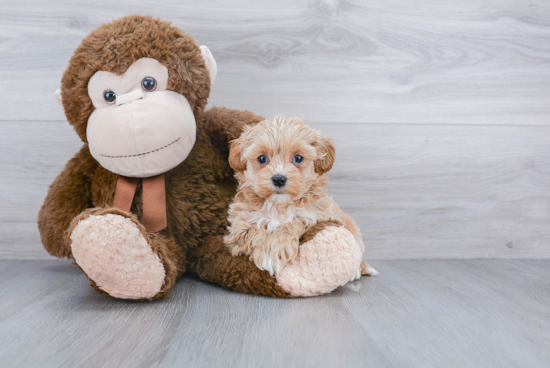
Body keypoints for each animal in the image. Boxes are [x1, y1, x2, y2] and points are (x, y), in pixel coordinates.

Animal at [224, 115, 380, 278]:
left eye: (298, 158)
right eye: (262, 159)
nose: (279, 179)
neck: (280, 206)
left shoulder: (318, 216)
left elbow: (293, 222)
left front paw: (273, 254)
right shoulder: (239, 226)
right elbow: (255, 233)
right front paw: (267, 255)